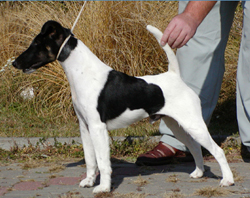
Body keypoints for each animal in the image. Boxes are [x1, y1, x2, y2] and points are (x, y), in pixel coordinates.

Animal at [12, 20, 234, 193]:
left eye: (36, 43)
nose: (14, 63)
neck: (82, 71)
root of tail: (174, 76)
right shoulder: (85, 127)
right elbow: (90, 160)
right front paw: (89, 181)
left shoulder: (98, 128)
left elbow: (103, 162)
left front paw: (103, 188)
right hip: (177, 125)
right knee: (195, 147)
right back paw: (198, 173)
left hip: (193, 123)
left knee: (217, 151)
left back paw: (227, 180)